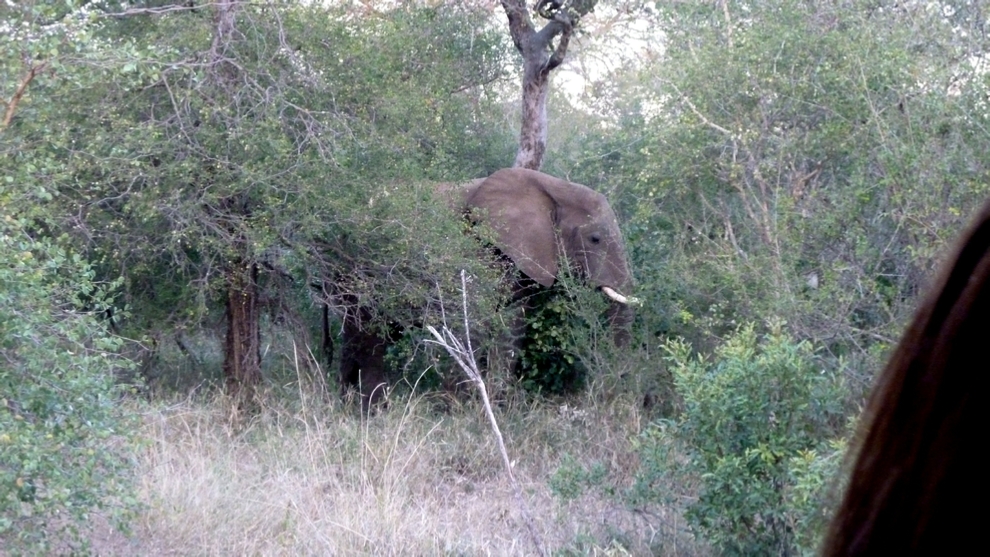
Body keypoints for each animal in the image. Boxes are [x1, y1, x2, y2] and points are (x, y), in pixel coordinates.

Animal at [338, 166, 640, 408]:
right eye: (595, 239)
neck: (553, 188)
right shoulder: (476, 248)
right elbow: (470, 322)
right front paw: (461, 408)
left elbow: (512, 328)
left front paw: (495, 406)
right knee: (367, 332)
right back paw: (371, 409)